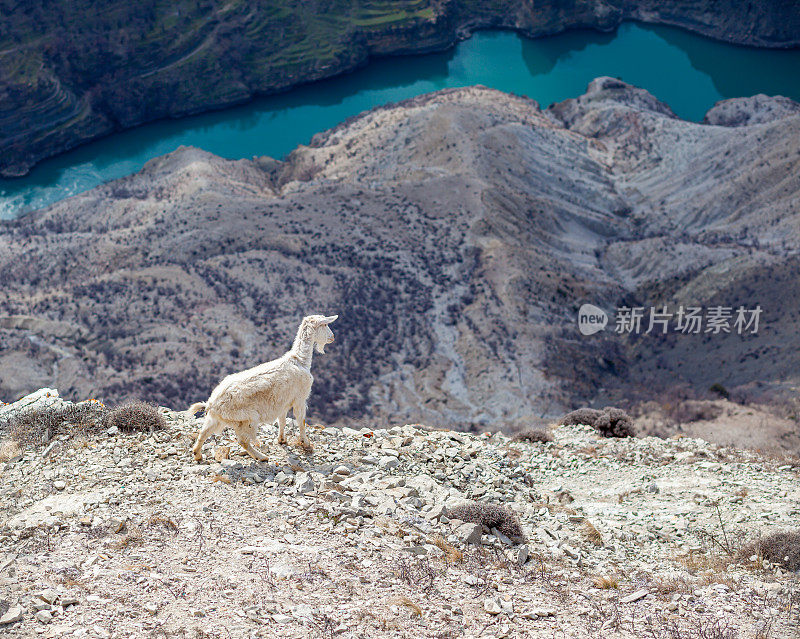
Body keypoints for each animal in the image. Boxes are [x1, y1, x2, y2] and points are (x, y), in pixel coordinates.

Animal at [188, 314, 338, 460]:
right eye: (325, 324)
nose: (332, 337)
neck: (299, 360)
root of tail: (211, 404)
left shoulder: (283, 403)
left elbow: (282, 421)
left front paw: (282, 440)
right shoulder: (300, 399)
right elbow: (301, 421)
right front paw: (306, 444)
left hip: (216, 419)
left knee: (203, 433)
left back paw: (197, 455)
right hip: (247, 419)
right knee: (242, 441)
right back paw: (261, 457)